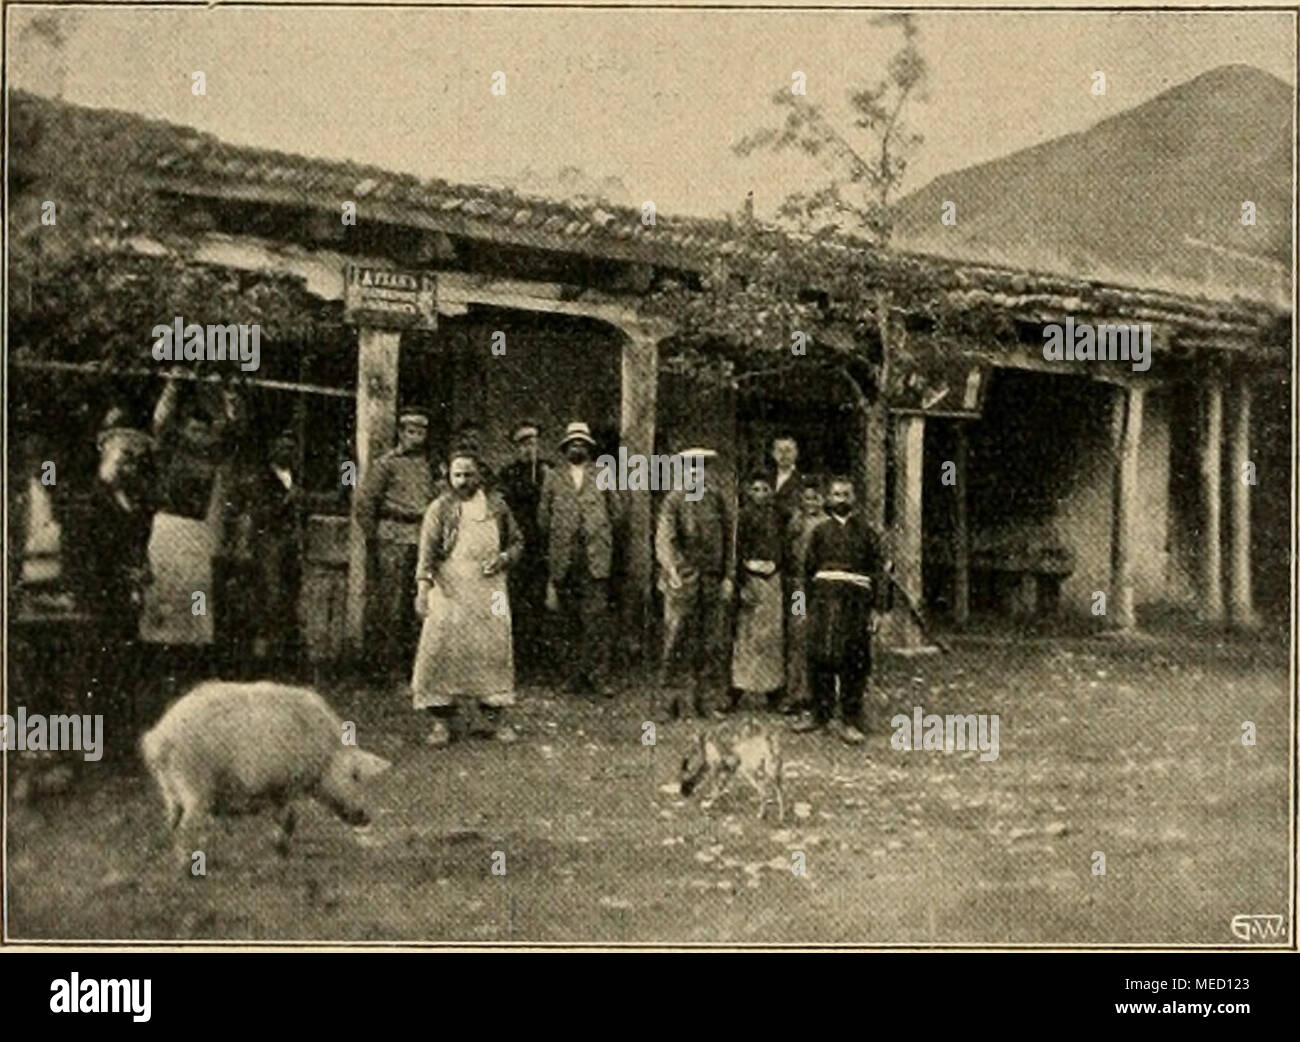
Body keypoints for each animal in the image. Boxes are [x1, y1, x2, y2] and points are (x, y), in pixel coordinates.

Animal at [140, 675, 390, 857]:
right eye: (355, 776)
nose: (366, 817)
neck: (325, 753)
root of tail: (159, 738)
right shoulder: (285, 783)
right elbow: (288, 819)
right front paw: (282, 853)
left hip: (169, 789)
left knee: (172, 823)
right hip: (194, 785)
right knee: (187, 827)